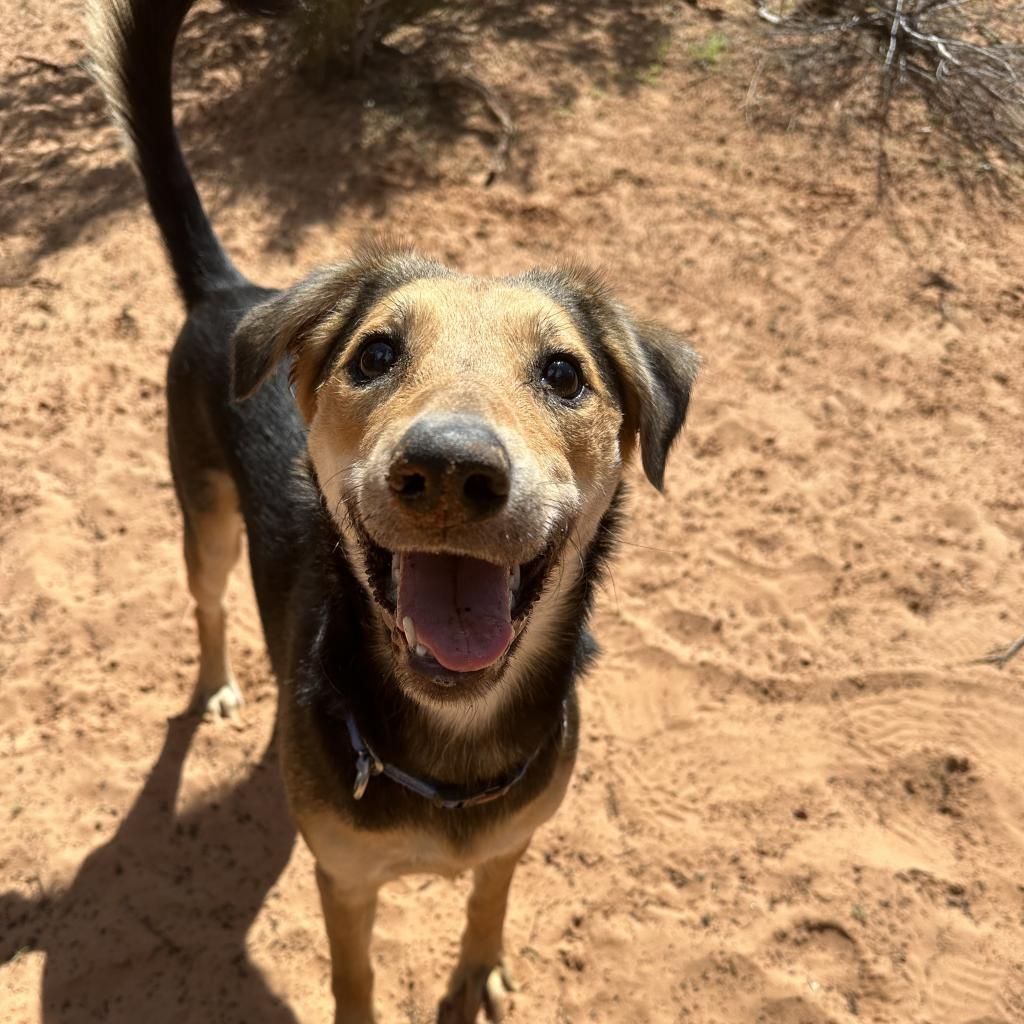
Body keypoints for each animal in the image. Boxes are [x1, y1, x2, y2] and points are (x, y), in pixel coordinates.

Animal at [88, 1, 699, 1021]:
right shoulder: (344, 878)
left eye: (565, 373)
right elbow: (356, 976)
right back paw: (217, 685)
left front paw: (477, 972)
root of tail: (235, 291)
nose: (449, 469)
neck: (450, 746)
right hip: (202, 514)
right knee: (209, 605)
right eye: (375, 355)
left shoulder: (512, 838)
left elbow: (488, 904)